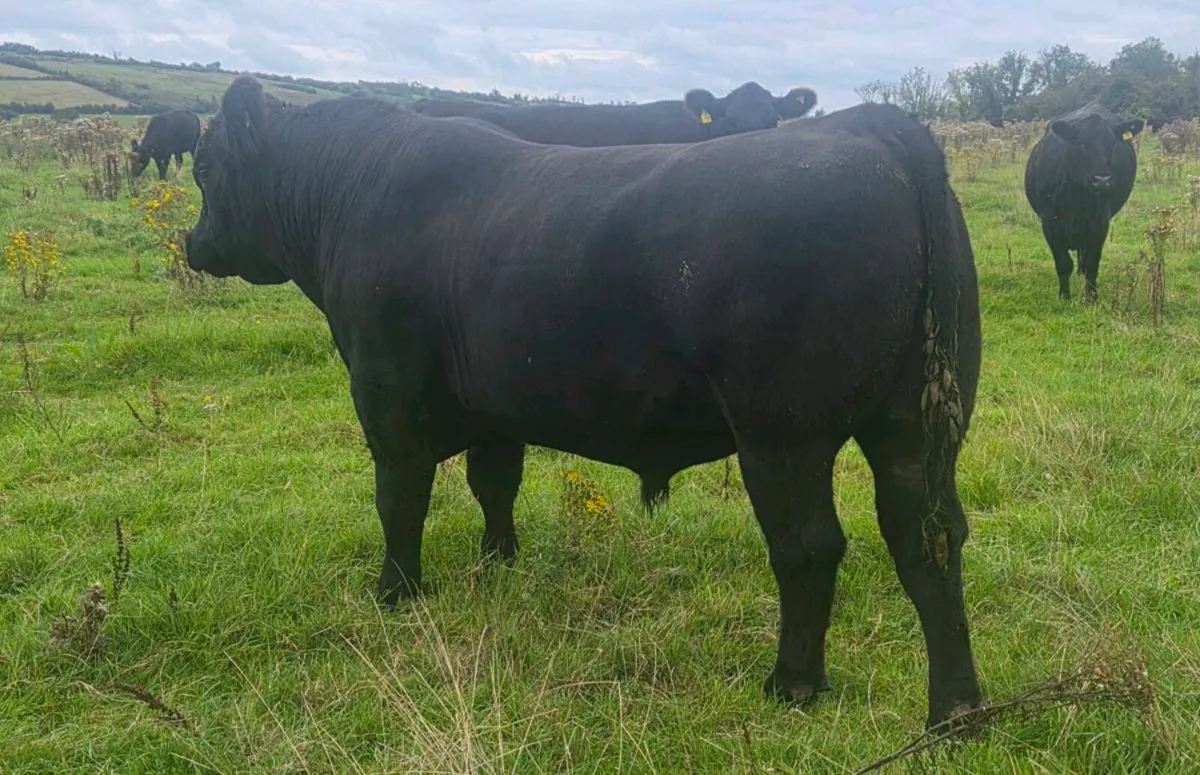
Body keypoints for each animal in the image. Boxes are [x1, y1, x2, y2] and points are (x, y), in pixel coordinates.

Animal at [185, 76, 984, 729]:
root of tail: (875, 128)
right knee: (928, 535)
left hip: (783, 434)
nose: (193, 244)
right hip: (914, 425)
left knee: (810, 548)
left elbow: (399, 499)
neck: (352, 187)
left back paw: (792, 683)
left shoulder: (387, 394)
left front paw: (396, 591)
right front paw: (498, 561)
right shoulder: (494, 404)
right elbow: (493, 483)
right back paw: (956, 709)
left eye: (204, 167)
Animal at [1024, 101, 1144, 303]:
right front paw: (1064, 297)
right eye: (1081, 144)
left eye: (1111, 144)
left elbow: (1091, 263)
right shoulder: (1050, 223)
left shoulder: (1100, 223)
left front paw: (1091, 298)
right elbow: (1063, 263)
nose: (1101, 180)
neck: (1077, 199)